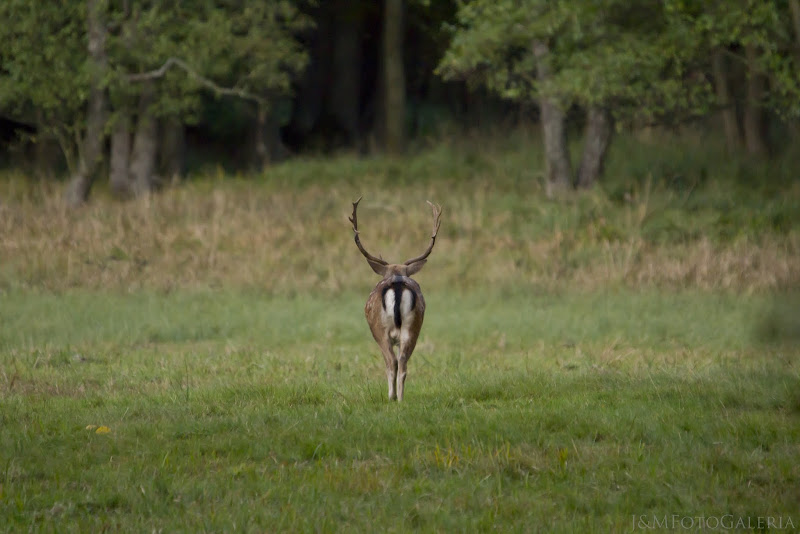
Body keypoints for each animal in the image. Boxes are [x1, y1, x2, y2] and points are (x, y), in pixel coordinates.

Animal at [350, 197, 444, 402]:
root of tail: (398, 283)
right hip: (413, 327)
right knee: (403, 362)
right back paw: (400, 398)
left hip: (381, 330)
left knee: (392, 361)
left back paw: (392, 396)